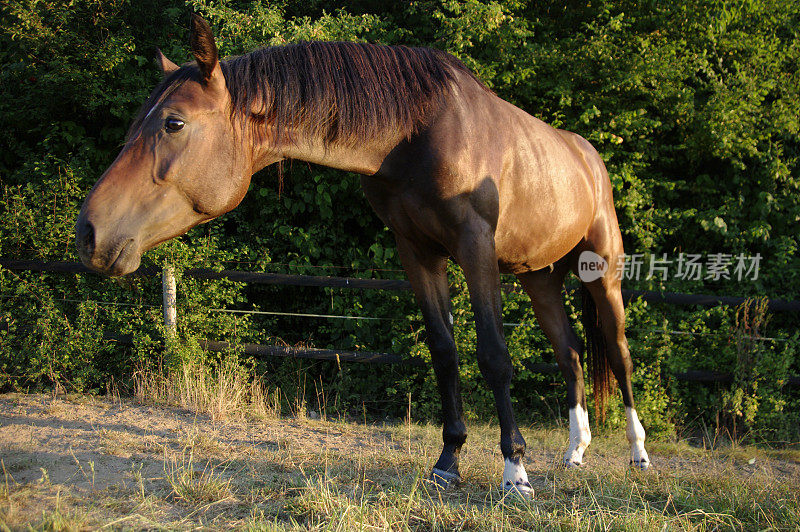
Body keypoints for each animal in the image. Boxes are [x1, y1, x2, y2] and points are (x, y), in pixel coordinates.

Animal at [75, 15, 648, 498]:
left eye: (173, 123)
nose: (88, 234)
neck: (420, 132)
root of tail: (587, 155)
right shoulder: (418, 253)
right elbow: (445, 352)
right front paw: (448, 463)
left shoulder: (474, 247)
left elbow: (493, 356)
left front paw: (515, 472)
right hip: (539, 277)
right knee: (571, 354)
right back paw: (575, 451)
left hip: (602, 272)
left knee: (618, 353)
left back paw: (637, 454)